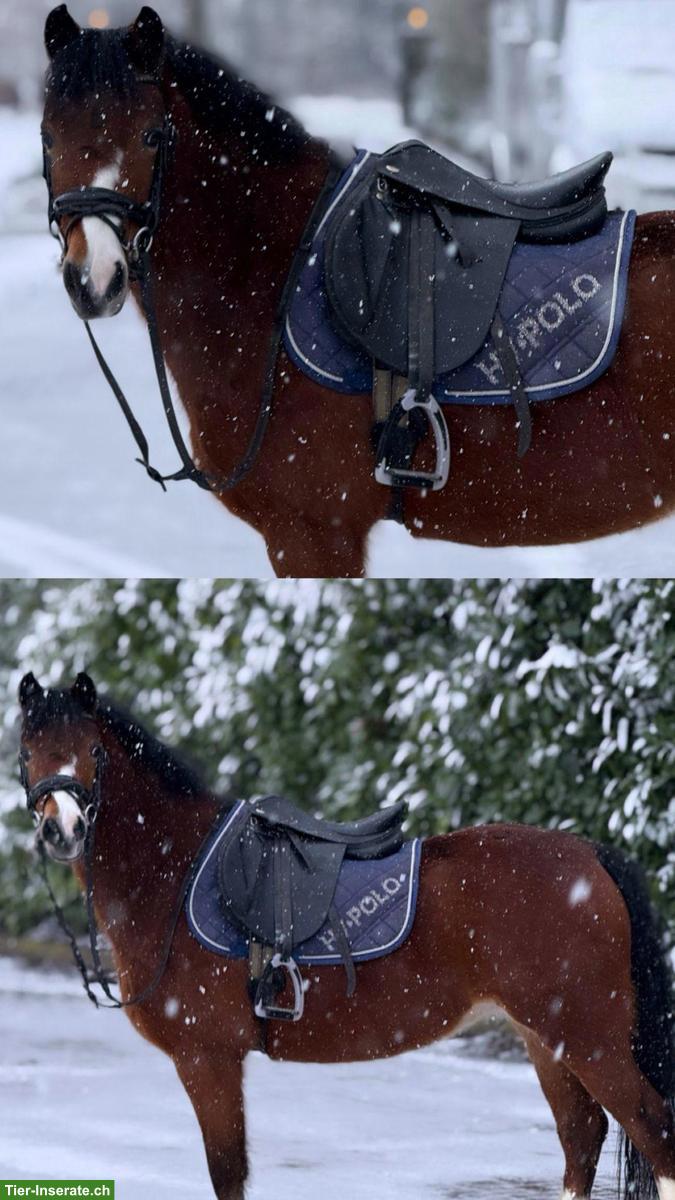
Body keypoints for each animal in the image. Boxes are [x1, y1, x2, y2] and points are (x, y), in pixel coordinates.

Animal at [17, 669, 675, 1199]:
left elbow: (227, 1173)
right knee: (581, 1140)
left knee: (654, 1133)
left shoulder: (207, 1058)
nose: (61, 830)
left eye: (93, 750)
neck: (174, 868)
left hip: (591, 1042)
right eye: (26, 751)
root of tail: (590, 855)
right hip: (546, 1039)